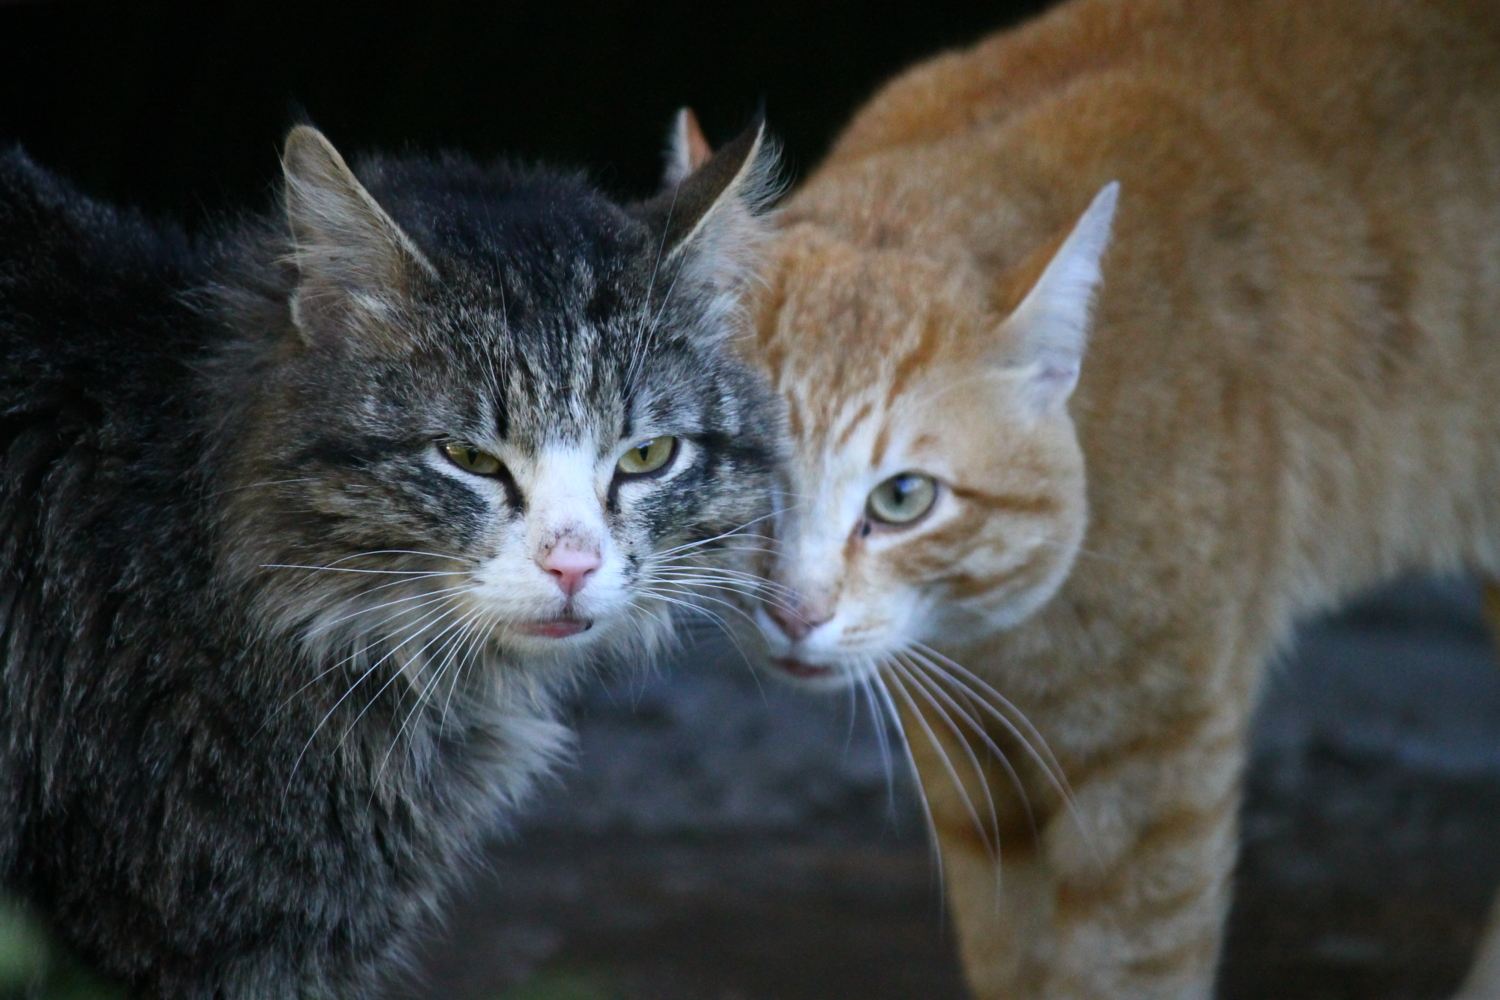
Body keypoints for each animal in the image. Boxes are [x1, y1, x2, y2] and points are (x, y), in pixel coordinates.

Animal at [702, 0, 1500, 995]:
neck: (1008, 638)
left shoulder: (1157, 771)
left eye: (903, 499)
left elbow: (1124, 967)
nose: (794, 614)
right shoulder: (970, 767)